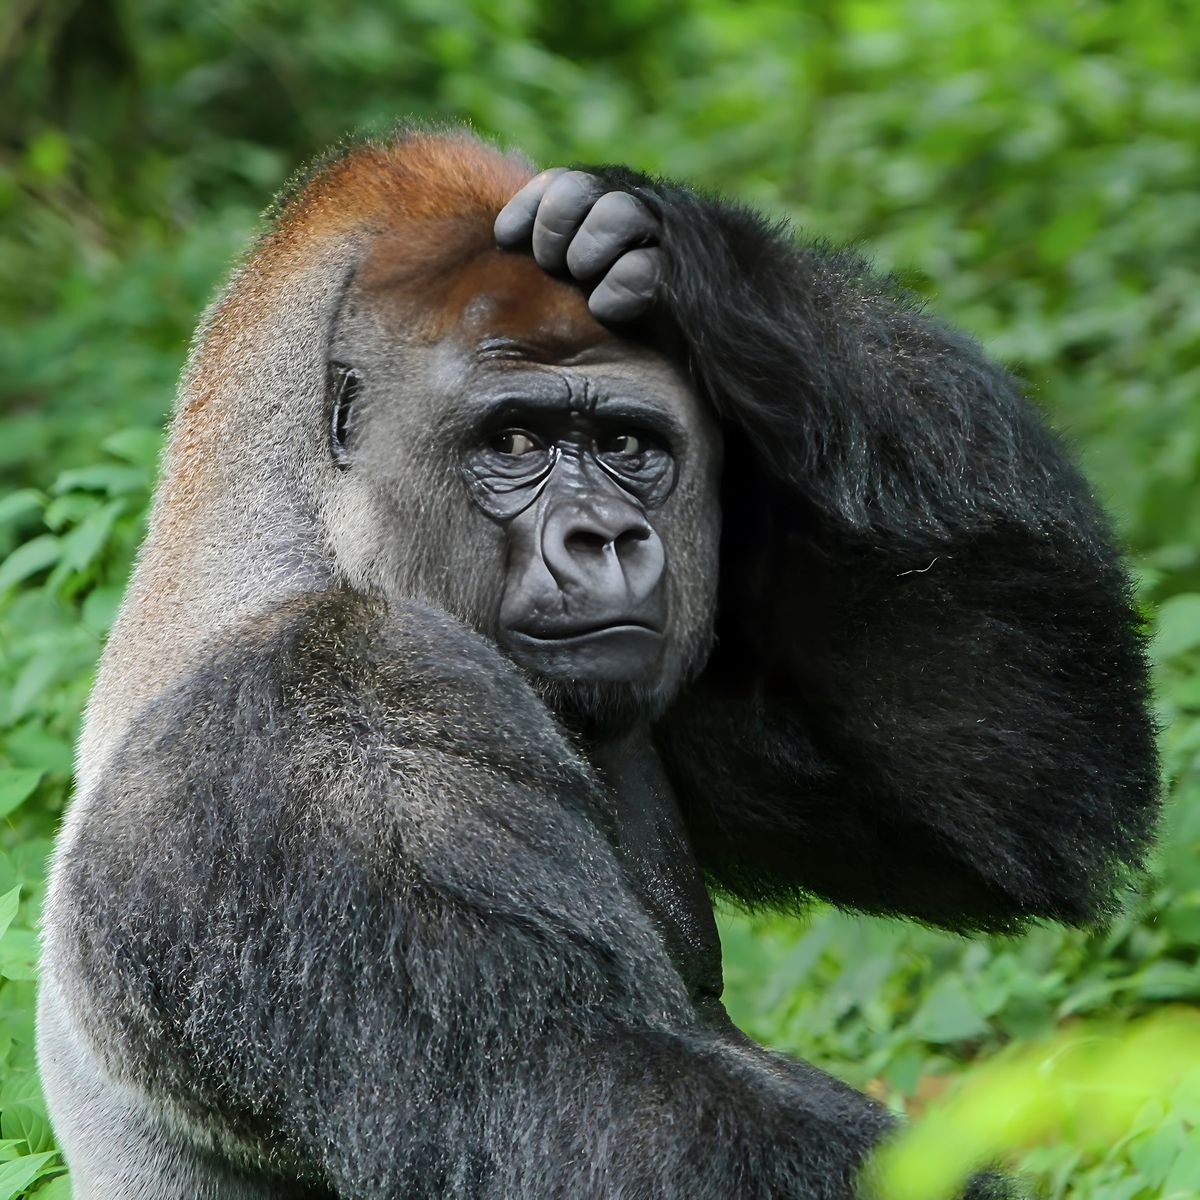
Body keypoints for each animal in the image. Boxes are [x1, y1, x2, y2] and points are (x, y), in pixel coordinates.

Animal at [37, 126, 1158, 1199]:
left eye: (626, 444)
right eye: (515, 441)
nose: (607, 537)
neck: (303, 534)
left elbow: (1001, 786)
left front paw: (676, 247)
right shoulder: (330, 727)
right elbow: (623, 1124)